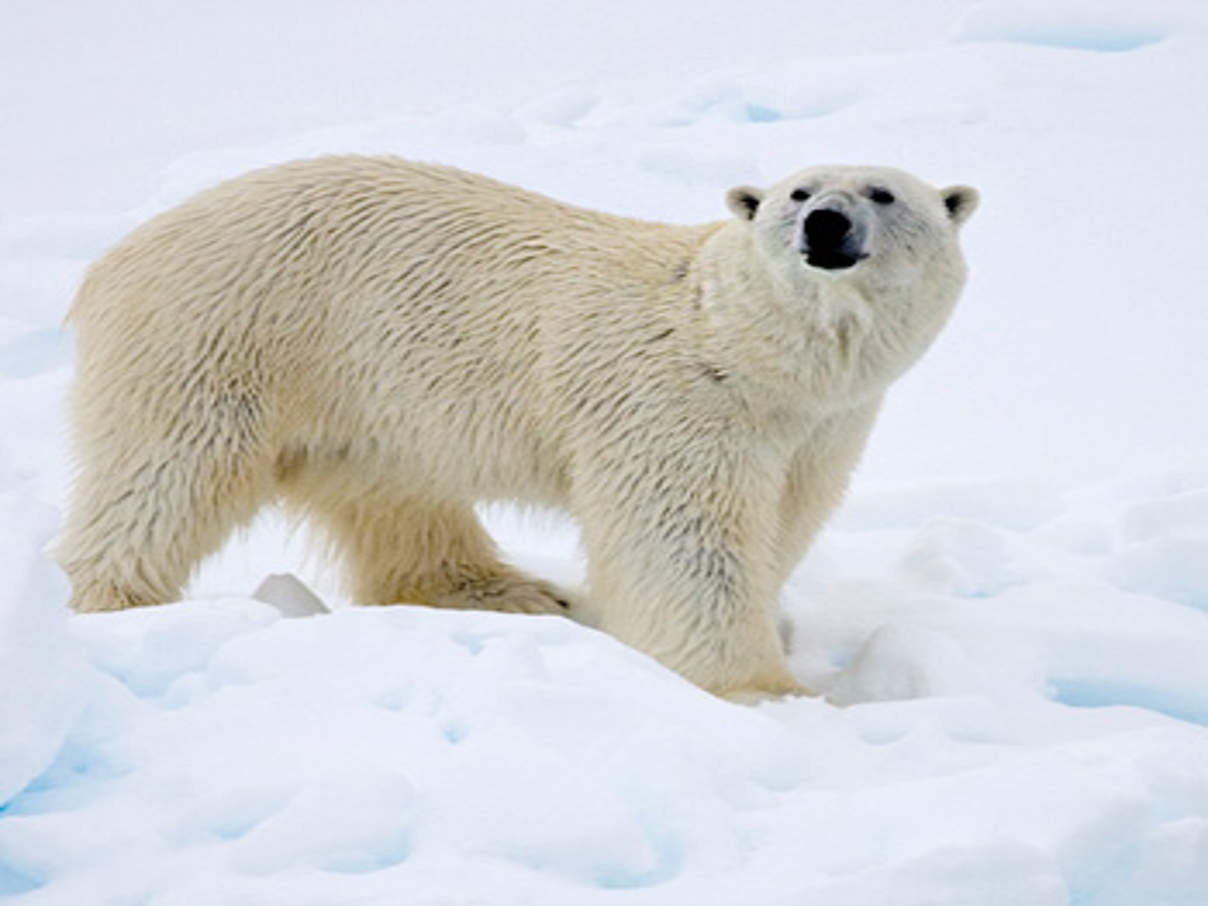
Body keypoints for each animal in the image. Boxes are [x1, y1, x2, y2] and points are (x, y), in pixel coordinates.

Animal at [61, 158, 976, 700]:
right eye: (796, 192)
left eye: (884, 193)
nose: (826, 223)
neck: (737, 345)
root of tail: (117, 255)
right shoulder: (676, 407)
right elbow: (687, 545)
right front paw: (757, 687)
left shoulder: (819, 432)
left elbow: (779, 526)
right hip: (225, 335)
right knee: (167, 475)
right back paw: (116, 606)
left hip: (364, 392)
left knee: (393, 494)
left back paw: (510, 592)